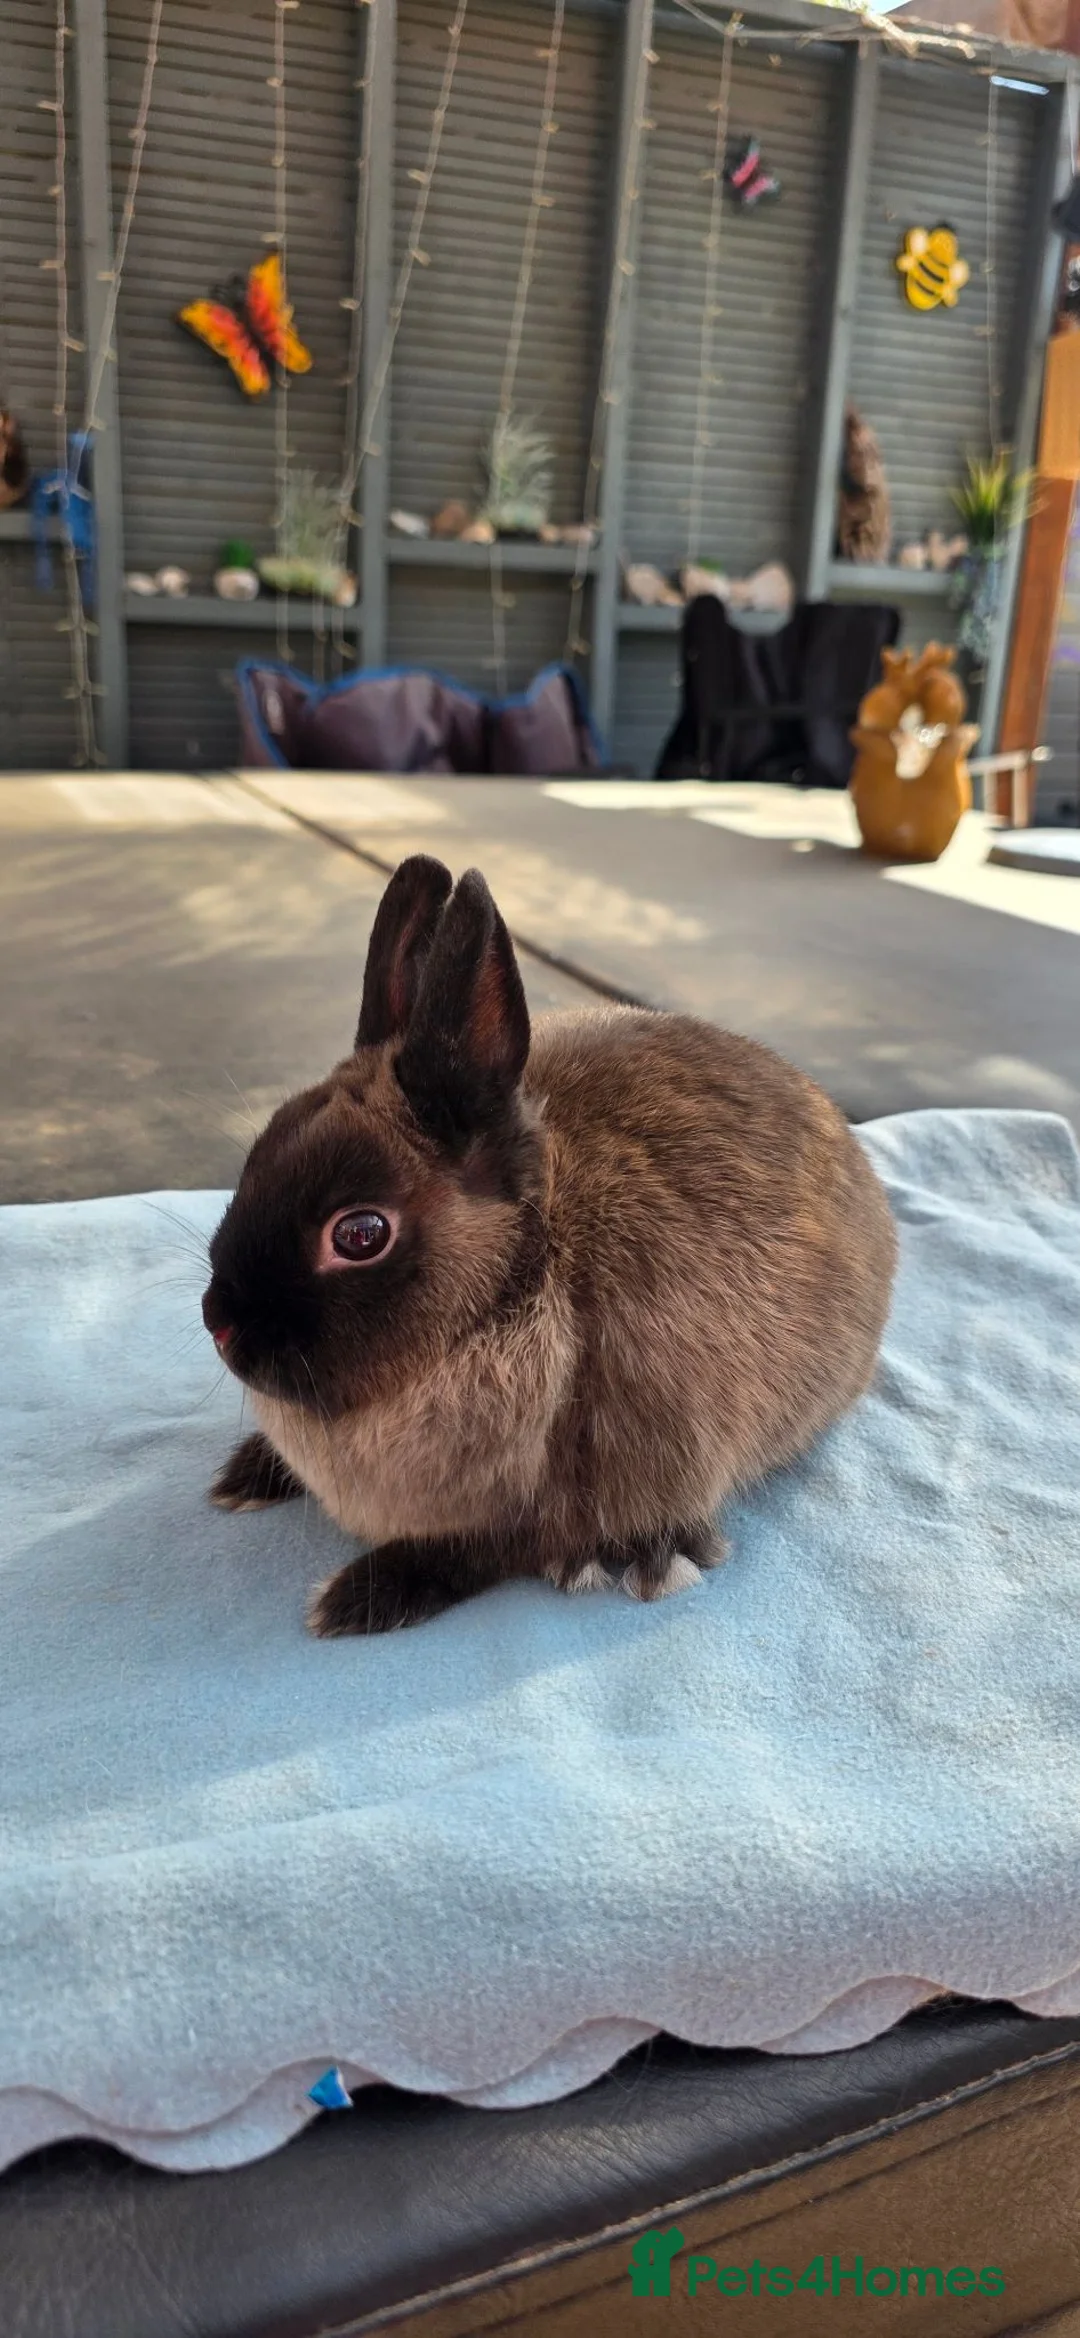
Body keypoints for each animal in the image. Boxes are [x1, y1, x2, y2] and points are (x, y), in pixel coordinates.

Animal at [202, 855, 896, 1636]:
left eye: (359, 1234)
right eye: (258, 1155)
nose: (219, 1326)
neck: (523, 1280)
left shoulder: (555, 1510)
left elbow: (482, 1551)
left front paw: (356, 1599)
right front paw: (246, 1475)